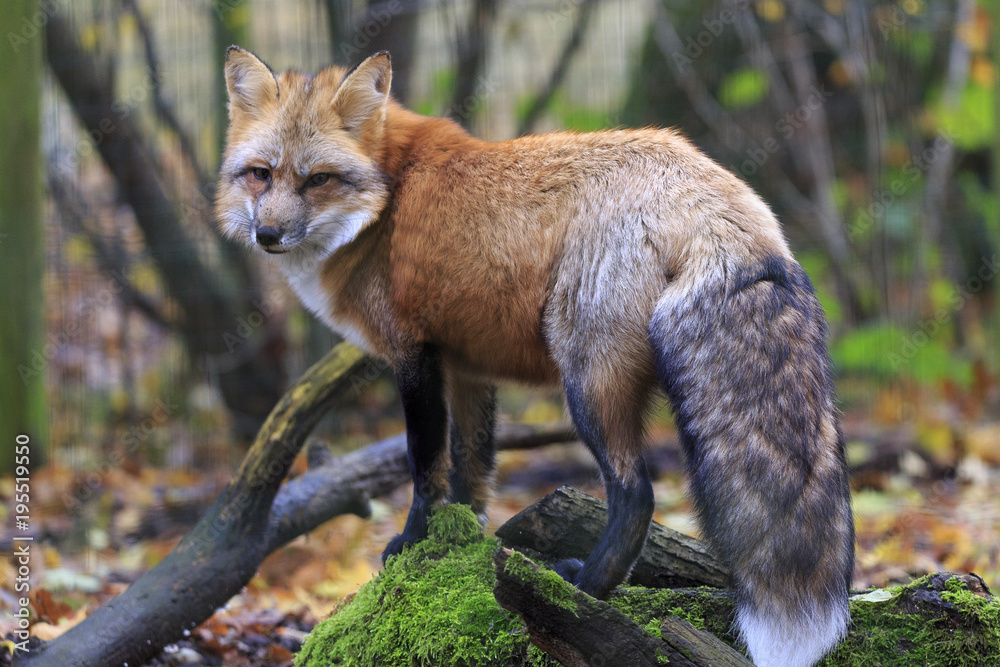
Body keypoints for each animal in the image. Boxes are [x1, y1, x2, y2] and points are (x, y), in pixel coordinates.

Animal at [216, 47, 855, 667]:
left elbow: (424, 462)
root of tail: (711, 190)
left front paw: (413, 541)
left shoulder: (412, 354)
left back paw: (584, 589)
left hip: (587, 383)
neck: (388, 196)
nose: (268, 235)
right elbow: (470, 467)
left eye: (318, 179)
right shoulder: (466, 366)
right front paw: (460, 539)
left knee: (636, 494)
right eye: (260, 174)